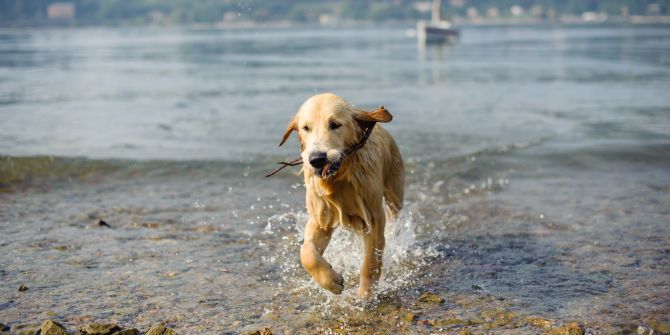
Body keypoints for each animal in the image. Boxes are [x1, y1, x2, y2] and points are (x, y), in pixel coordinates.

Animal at [278, 92, 404, 300]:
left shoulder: (373, 217)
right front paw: (331, 281)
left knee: (394, 217)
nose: (317, 159)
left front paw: (365, 294)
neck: (339, 177)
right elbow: (306, 253)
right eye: (306, 128)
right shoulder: (320, 218)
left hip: (395, 192)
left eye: (335, 124)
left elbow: (370, 261)